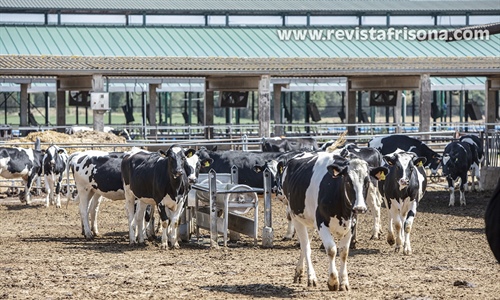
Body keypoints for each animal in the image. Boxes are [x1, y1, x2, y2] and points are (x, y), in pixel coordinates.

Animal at [282, 151, 386, 290]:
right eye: (348, 181)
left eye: (367, 181)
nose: (359, 208)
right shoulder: (321, 222)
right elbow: (331, 250)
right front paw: (333, 281)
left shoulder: (351, 225)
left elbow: (344, 252)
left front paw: (344, 282)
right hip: (296, 217)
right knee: (305, 246)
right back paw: (311, 277)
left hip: (308, 221)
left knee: (305, 245)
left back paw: (299, 272)